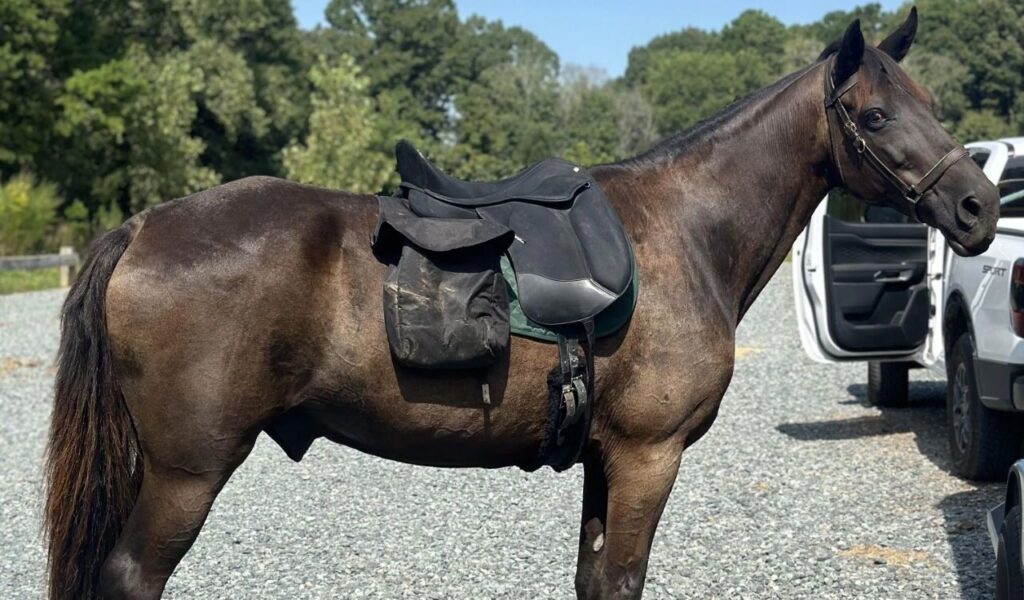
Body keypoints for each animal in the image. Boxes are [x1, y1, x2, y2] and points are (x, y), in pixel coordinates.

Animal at [44, 11, 998, 600]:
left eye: (928, 103)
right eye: (873, 117)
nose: (979, 208)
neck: (687, 227)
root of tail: (144, 225)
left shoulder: (608, 458)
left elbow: (592, 580)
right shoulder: (649, 457)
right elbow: (622, 580)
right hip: (187, 472)